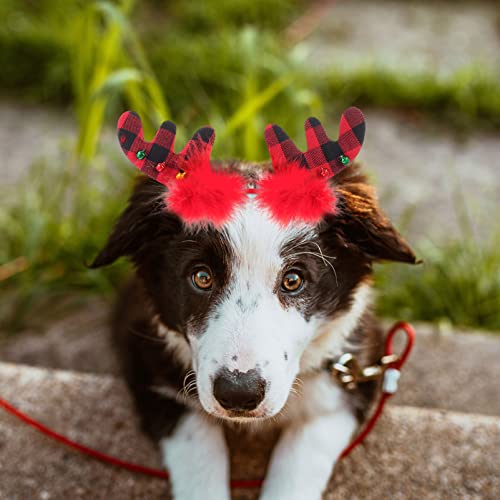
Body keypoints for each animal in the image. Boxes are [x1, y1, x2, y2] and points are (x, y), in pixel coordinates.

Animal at [91, 151, 418, 496]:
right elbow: (198, 449)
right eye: (201, 277)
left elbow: (302, 458)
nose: (238, 395)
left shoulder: (351, 376)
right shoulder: (147, 361)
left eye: (293, 280)